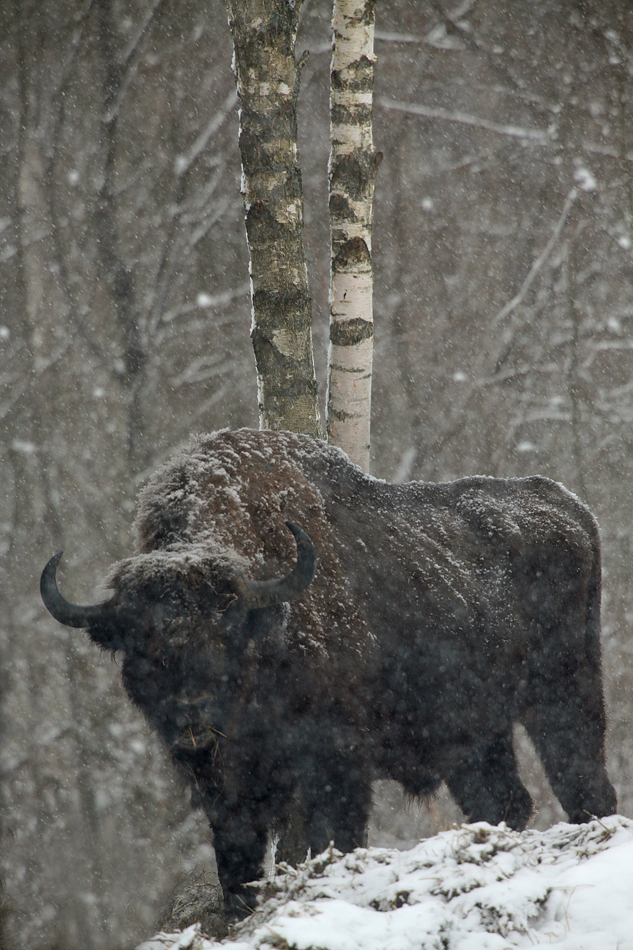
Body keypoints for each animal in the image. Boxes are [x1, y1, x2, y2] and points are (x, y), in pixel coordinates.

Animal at [39, 430, 612, 916]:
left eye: (226, 628)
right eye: (141, 641)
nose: (191, 713)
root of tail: (572, 508)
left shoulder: (336, 766)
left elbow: (333, 838)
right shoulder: (227, 794)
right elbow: (237, 866)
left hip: (565, 695)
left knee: (582, 780)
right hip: (476, 735)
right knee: (503, 798)